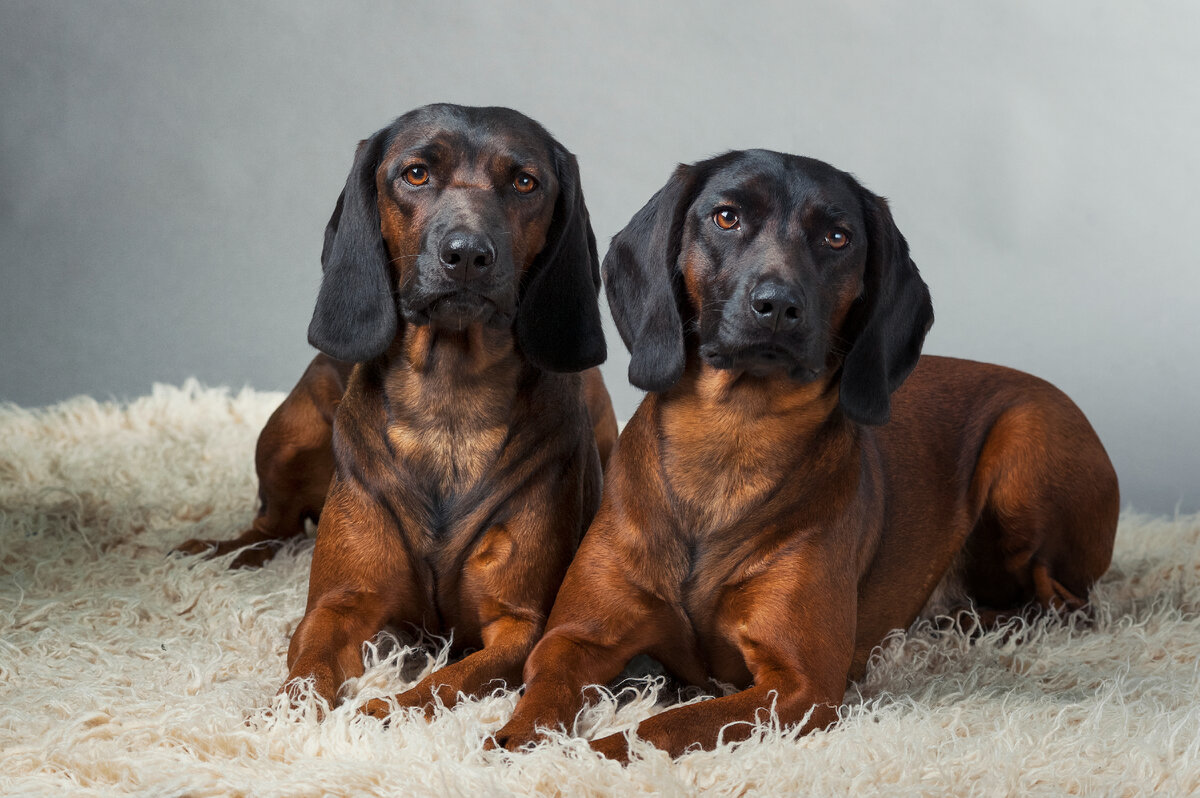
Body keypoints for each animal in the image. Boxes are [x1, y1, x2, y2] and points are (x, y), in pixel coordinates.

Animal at [180, 104, 619, 710]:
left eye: (525, 182)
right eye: (415, 173)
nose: (467, 255)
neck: (449, 405)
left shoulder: (520, 626)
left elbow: (437, 687)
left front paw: (373, 714)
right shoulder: (340, 603)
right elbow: (307, 673)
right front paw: (284, 718)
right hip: (289, 433)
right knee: (271, 523)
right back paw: (220, 553)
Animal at [492, 147, 1118, 758]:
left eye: (837, 238)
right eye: (726, 217)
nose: (777, 304)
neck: (730, 439)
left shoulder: (800, 685)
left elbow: (658, 730)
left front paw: (587, 756)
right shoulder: (575, 637)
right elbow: (543, 688)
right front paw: (517, 741)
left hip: (1024, 449)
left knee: (1065, 601)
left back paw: (974, 624)